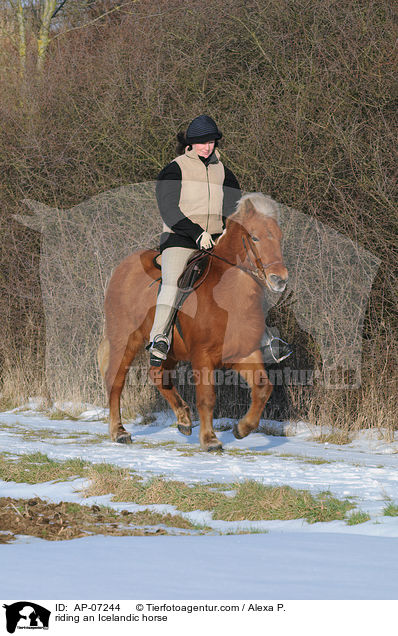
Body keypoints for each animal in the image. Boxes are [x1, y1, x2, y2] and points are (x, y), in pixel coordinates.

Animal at [97, 194, 288, 452]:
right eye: (255, 237)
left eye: (279, 236)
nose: (280, 279)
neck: (229, 295)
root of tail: (121, 269)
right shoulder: (202, 356)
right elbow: (207, 398)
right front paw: (210, 440)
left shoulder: (244, 353)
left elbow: (263, 388)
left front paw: (241, 428)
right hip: (124, 341)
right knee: (115, 382)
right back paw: (119, 432)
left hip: (170, 350)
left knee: (158, 375)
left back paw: (184, 419)